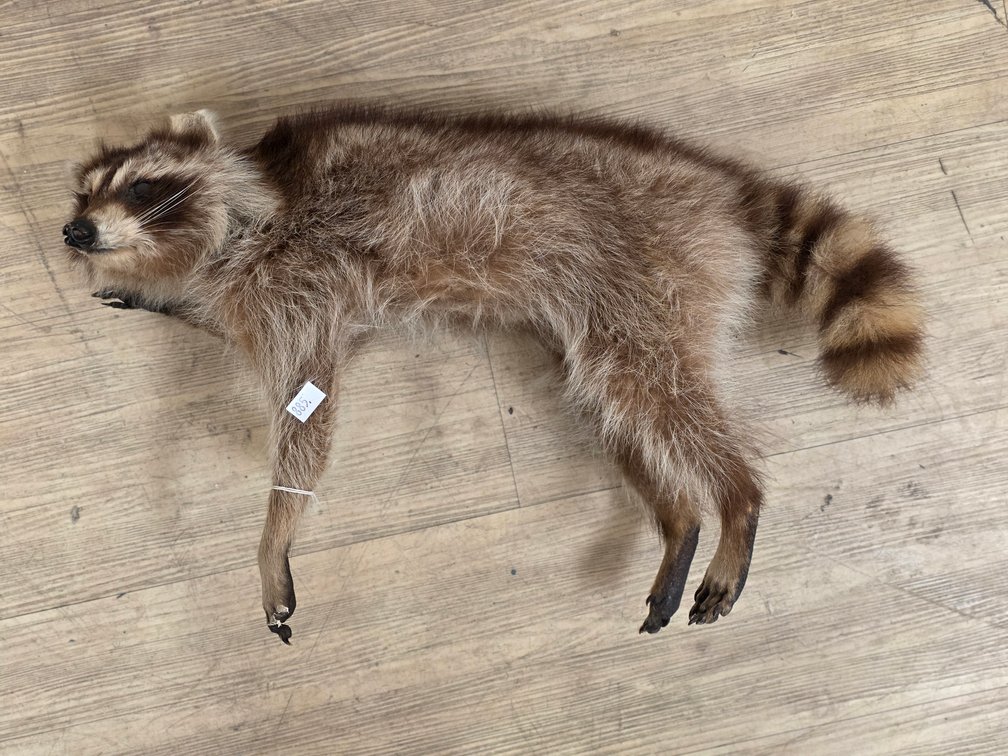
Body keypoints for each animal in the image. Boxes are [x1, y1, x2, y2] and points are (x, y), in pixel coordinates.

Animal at [63, 107, 924, 643]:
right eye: (82, 191)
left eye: (141, 185)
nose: (73, 230)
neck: (243, 215)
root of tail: (718, 188)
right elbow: (225, 322)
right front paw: (160, 293)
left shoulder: (299, 280)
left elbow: (307, 419)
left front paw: (275, 537)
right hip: (596, 313)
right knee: (616, 402)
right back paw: (679, 519)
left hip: (657, 275)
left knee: (662, 391)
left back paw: (737, 502)